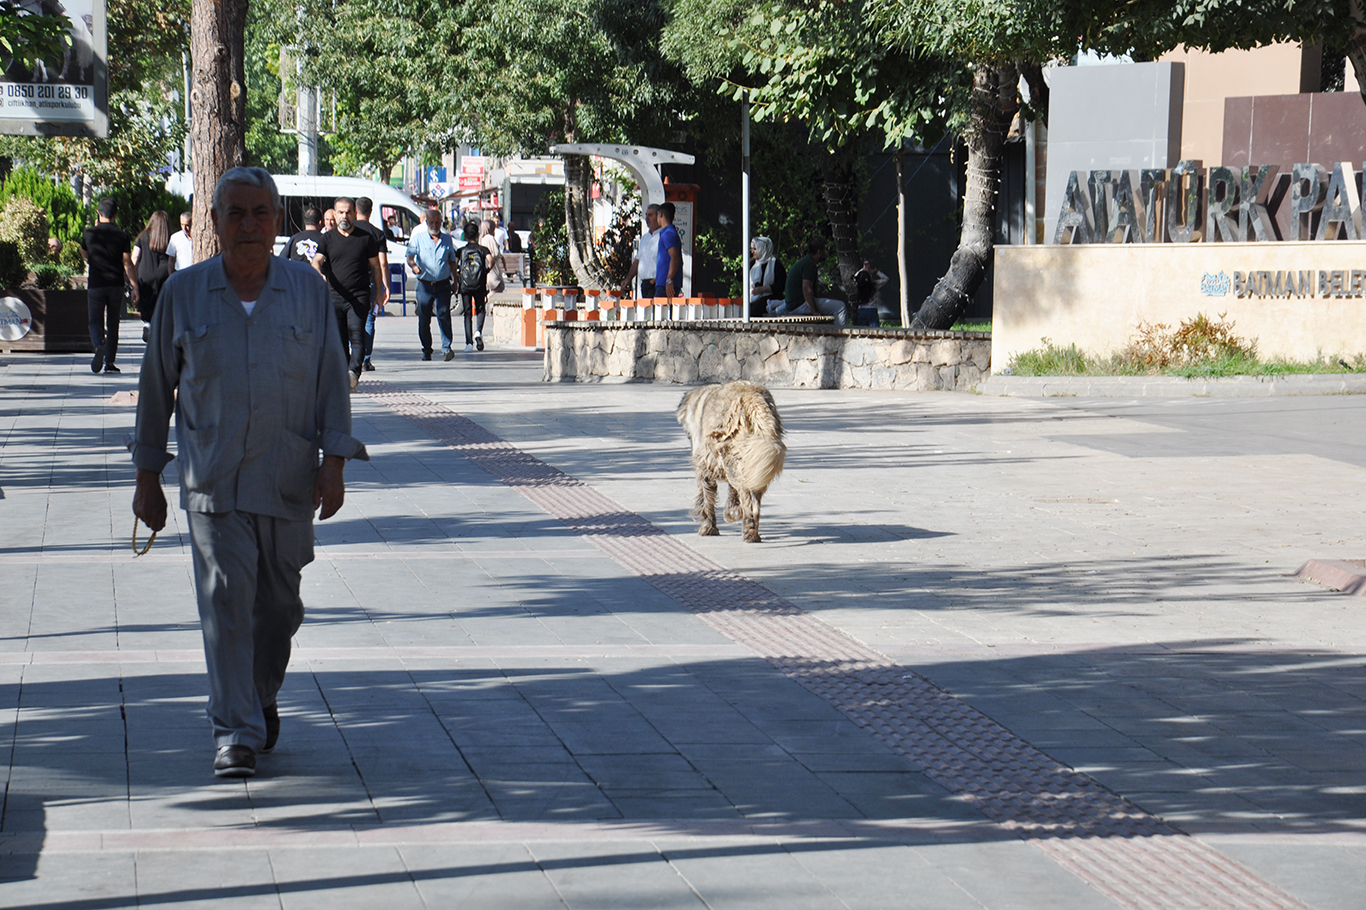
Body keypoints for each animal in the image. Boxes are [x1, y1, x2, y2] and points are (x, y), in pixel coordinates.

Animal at [674, 379, 786, 541]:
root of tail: (751, 397)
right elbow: (730, 491)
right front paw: (730, 511)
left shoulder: (704, 464)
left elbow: (706, 497)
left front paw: (708, 527)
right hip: (755, 460)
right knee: (752, 495)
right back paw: (750, 528)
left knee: (746, 495)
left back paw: (748, 527)